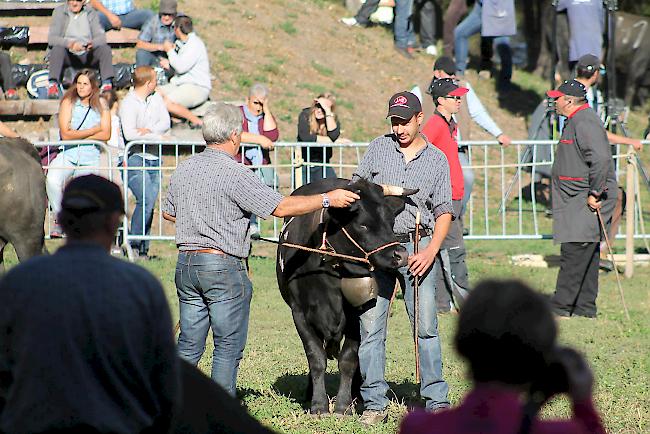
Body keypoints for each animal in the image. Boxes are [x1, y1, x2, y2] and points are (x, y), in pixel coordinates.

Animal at [276, 178, 412, 416]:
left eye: (391, 222)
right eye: (363, 225)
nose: (401, 255)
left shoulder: (356, 314)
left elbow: (349, 359)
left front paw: (342, 406)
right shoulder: (299, 313)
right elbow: (315, 357)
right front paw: (319, 405)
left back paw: (357, 392)